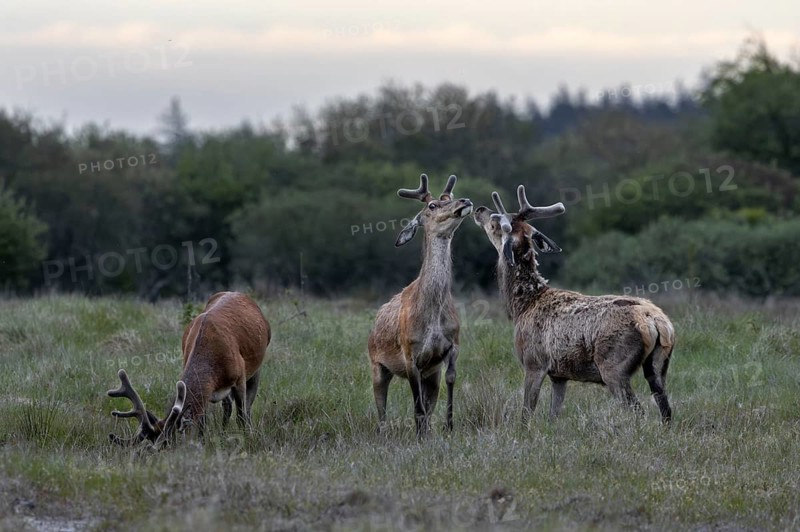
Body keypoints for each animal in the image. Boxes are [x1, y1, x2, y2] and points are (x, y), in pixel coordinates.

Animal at [107, 291, 271, 448]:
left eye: (168, 442)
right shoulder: (207, 389)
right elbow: (202, 421)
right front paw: (201, 443)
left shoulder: (239, 378)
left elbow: (242, 415)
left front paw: (248, 438)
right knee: (227, 406)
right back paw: (223, 433)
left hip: (256, 368)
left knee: (247, 407)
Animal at [368, 173, 473, 437]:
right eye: (432, 205)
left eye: (450, 197)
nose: (465, 200)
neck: (431, 316)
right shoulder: (410, 353)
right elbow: (417, 405)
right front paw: (419, 435)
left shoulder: (452, 344)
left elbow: (450, 380)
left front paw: (449, 426)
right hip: (376, 364)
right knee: (381, 409)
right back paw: (384, 433)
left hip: (430, 373)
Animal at [473, 186, 675, 423]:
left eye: (494, 223)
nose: (479, 208)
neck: (522, 306)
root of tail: (658, 322)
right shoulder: (559, 375)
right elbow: (553, 415)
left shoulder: (533, 362)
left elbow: (526, 412)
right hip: (659, 365)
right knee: (666, 410)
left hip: (614, 366)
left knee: (637, 411)